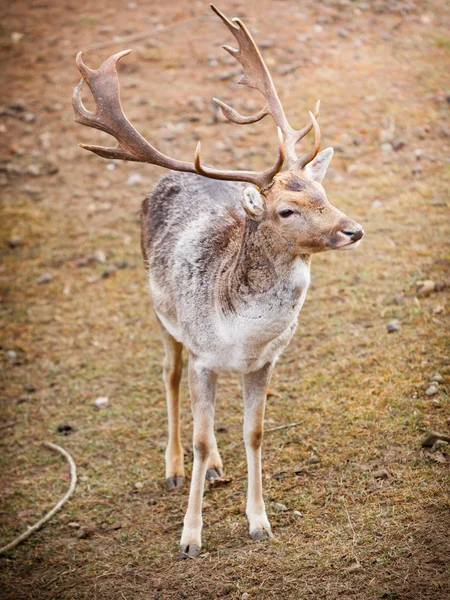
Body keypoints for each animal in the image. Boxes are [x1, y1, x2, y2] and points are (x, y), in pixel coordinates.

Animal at [72, 4, 364, 556]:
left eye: (323, 191)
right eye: (286, 209)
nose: (353, 229)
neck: (240, 335)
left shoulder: (264, 362)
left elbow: (254, 433)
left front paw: (260, 521)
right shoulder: (204, 356)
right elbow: (202, 435)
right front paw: (190, 537)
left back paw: (213, 469)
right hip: (163, 316)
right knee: (170, 376)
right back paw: (173, 466)